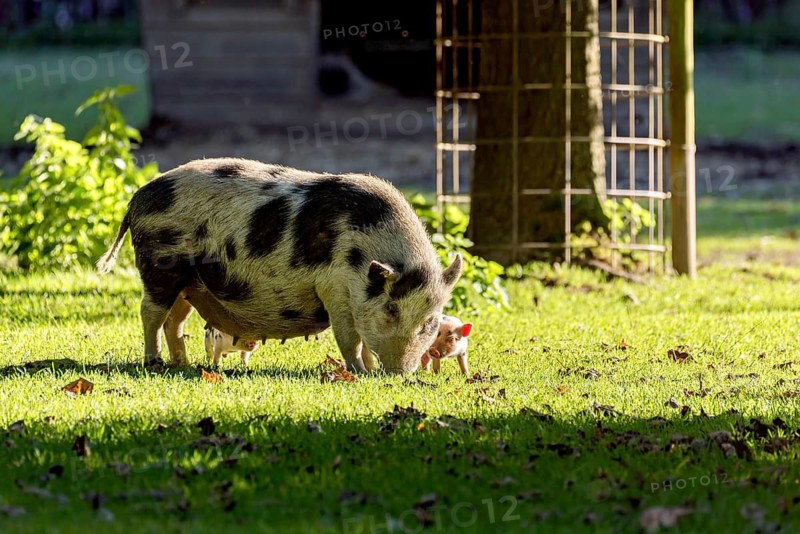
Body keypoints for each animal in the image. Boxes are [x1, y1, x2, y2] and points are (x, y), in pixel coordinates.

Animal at [96, 158, 463, 373]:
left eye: (430, 321)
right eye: (390, 310)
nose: (403, 372)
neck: (362, 254)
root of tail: (138, 197)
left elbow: (361, 338)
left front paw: (370, 371)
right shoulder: (333, 289)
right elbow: (350, 337)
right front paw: (360, 373)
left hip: (191, 281)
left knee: (175, 320)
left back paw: (182, 364)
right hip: (160, 263)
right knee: (151, 313)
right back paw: (154, 362)